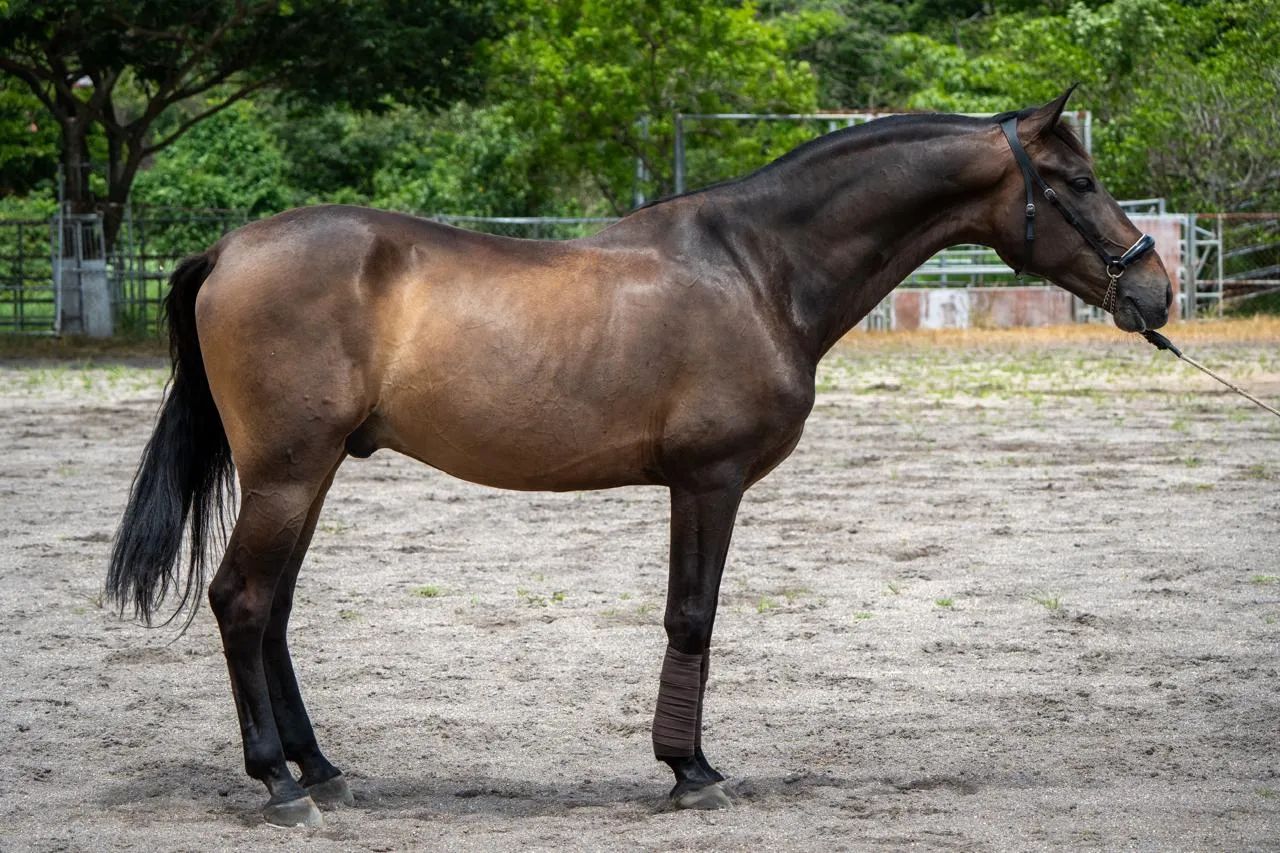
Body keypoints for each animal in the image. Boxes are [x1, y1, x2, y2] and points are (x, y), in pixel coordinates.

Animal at [107, 88, 1171, 827]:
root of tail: (230, 249)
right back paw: (280, 783)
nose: (1155, 289)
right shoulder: (709, 480)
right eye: (1077, 183)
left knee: (274, 609)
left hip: (311, 472)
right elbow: (692, 616)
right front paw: (690, 770)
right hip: (288, 471)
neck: (756, 267)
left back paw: (320, 767)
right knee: (243, 601)